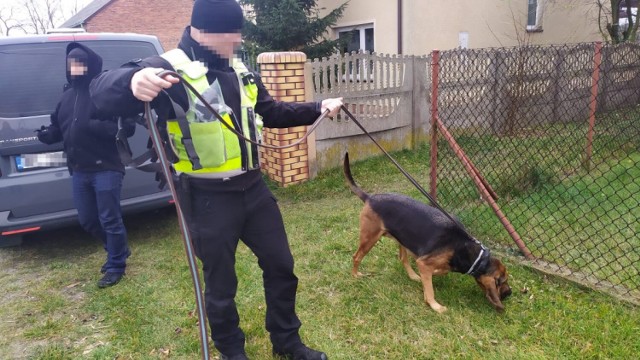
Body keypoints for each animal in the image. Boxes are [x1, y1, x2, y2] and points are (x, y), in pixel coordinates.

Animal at [342, 152, 512, 312]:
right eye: (502, 281)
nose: (510, 293)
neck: (467, 250)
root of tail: (369, 197)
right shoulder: (423, 263)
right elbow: (430, 288)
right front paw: (435, 305)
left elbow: (437, 273)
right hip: (369, 238)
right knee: (356, 256)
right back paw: (355, 275)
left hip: (403, 238)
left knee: (403, 259)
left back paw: (413, 276)